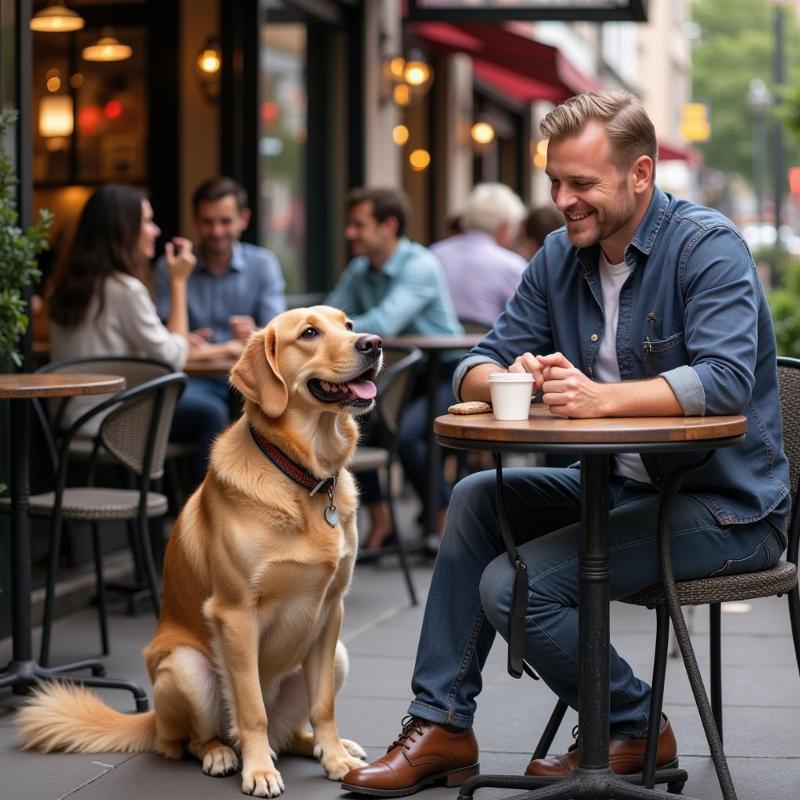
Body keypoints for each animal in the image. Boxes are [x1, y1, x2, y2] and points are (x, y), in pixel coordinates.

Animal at [18, 304, 382, 792]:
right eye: (308, 333)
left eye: (348, 326)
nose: (374, 343)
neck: (302, 476)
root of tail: (153, 720)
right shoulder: (235, 614)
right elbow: (251, 708)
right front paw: (259, 771)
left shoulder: (331, 611)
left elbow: (323, 704)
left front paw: (336, 759)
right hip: (186, 667)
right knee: (194, 739)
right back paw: (224, 754)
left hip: (338, 654)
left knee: (292, 732)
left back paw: (332, 748)